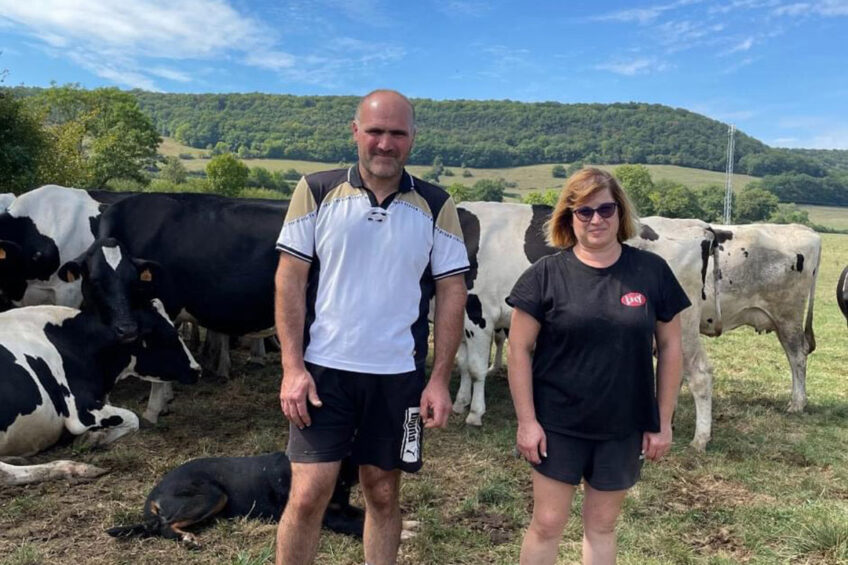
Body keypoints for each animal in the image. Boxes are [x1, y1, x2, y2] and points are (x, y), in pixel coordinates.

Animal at [0, 298, 200, 486]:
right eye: (170, 337)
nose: (197, 369)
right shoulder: (80, 411)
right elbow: (133, 418)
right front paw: (93, 438)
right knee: (5, 473)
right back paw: (73, 468)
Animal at [106, 450, 362, 548]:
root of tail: (154, 493)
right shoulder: (329, 516)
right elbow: (360, 524)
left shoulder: (343, 508)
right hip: (214, 495)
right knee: (163, 526)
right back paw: (188, 539)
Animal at [450, 200, 724, 448]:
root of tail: (696, 226)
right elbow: (462, 363)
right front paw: (459, 402)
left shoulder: (479, 311)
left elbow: (475, 368)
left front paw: (474, 413)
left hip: (684, 325)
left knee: (699, 374)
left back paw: (700, 439)